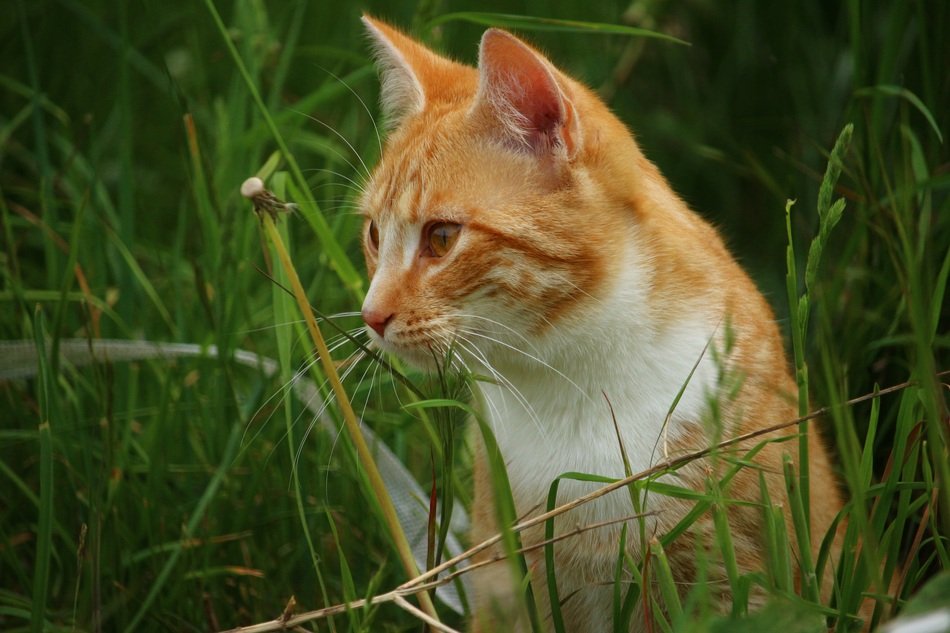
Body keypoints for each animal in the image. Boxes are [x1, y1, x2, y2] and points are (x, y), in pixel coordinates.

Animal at [358, 14, 848, 632]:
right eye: (374, 234)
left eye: (442, 238)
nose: (370, 315)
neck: (571, 384)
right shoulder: (514, 583)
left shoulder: (731, 576)